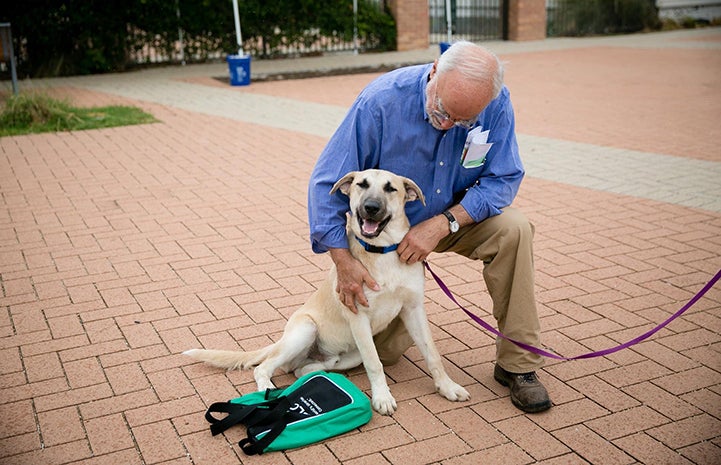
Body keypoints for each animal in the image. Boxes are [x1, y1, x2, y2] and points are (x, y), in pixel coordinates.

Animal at [183, 169, 470, 414]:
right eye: (361, 184)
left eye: (391, 189)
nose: (371, 208)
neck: (383, 251)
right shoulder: (358, 314)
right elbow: (375, 364)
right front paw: (383, 397)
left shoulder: (413, 309)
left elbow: (432, 354)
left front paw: (447, 387)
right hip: (306, 330)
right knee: (265, 367)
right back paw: (268, 389)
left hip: (351, 353)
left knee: (303, 370)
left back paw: (320, 371)